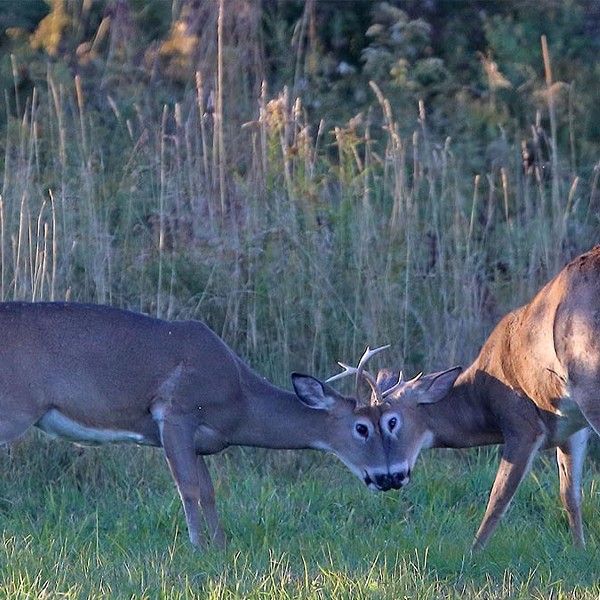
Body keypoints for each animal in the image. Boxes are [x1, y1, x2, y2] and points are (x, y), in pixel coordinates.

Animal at [1, 304, 408, 548]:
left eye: (390, 424)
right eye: (362, 428)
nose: (391, 477)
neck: (240, 401)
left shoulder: (201, 439)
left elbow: (210, 490)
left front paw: (220, 545)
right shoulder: (176, 413)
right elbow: (189, 488)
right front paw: (197, 546)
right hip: (14, 408)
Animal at [336, 247, 600, 552]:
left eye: (391, 422)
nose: (390, 478)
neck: (483, 397)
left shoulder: (521, 423)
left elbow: (498, 498)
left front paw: (472, 553)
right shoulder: (572, 428)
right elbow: (570, 496)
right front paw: (580, 549)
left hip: (588, 377)